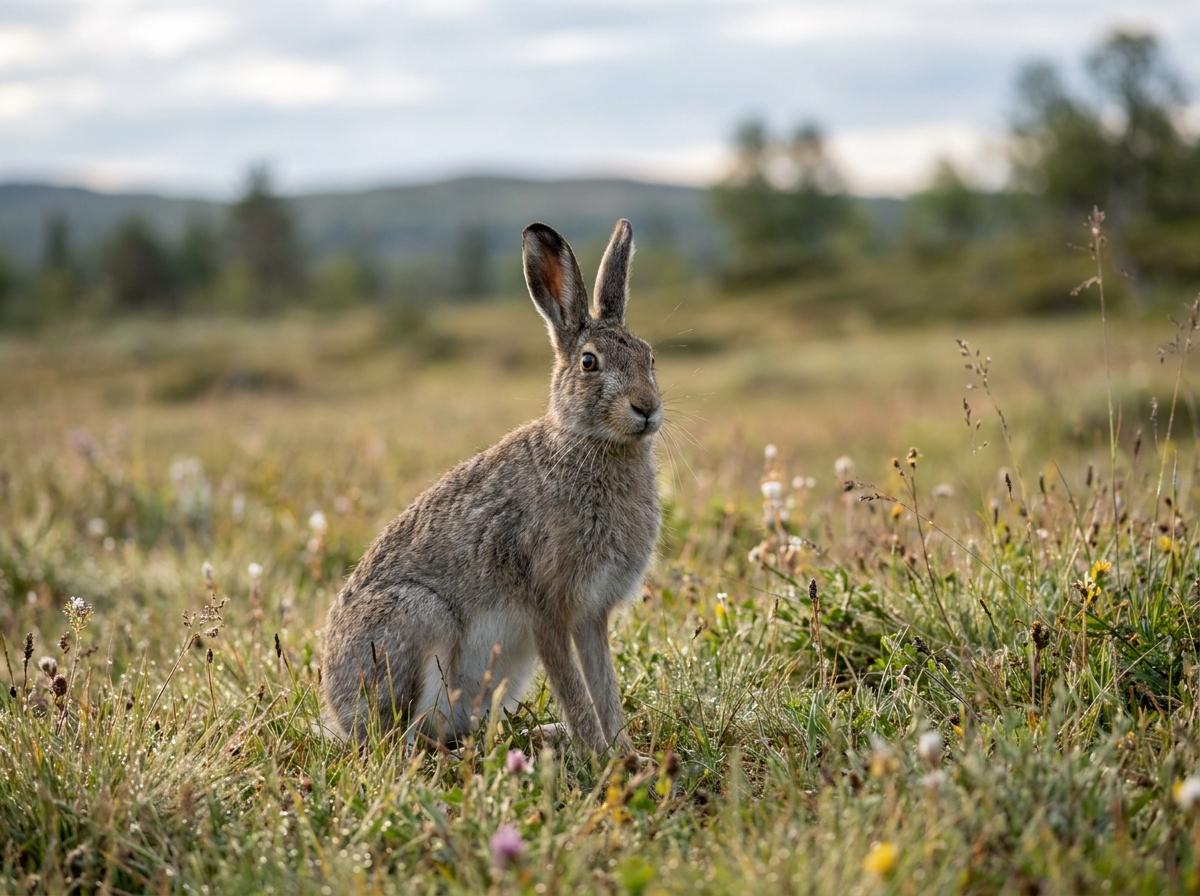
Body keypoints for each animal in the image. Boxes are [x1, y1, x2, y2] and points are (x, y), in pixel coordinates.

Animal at [322, 218, 661, 755]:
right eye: (589, 363)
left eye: (650, 358)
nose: (646, 408)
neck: (588, 444)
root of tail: (338, 714)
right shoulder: (547, 606)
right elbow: (575, 689)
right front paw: (600, 755)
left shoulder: (591, 615)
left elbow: (603, 687)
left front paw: (625, 754)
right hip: (418, 620)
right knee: (401, 739)